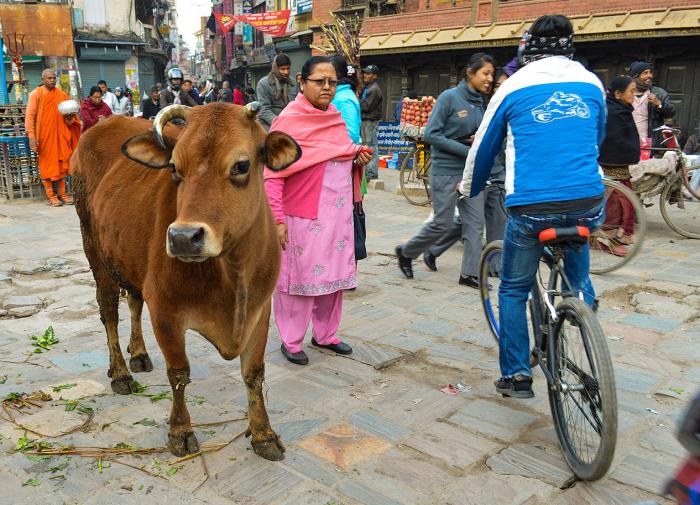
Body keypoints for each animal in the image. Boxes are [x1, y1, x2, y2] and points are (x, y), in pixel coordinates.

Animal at [72, 102, 300, 456]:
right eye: (175, 169)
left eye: (242, 165)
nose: (182, 238)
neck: (231, 273)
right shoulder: (166, 311)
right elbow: (178, 374)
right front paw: (180, 430)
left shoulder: (260, 310)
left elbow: (253, 373)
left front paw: (263, 433)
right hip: (94, 251)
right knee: (108, 312)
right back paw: (120, 372)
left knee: (134, 301)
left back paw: (139, 354)